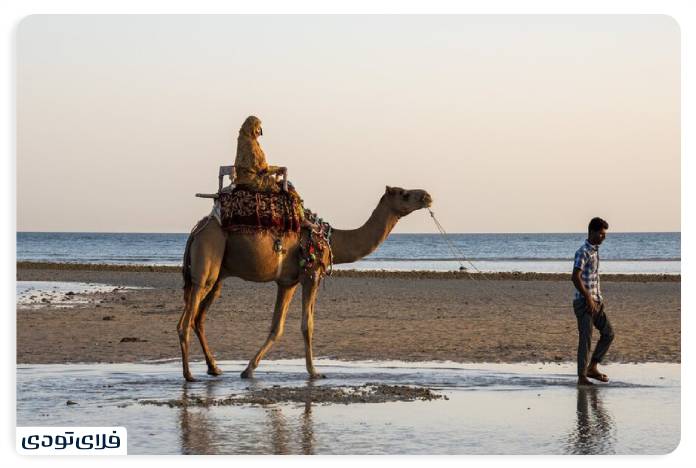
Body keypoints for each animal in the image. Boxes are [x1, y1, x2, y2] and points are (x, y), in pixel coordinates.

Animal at [177, 185, 433, 381]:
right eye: (404, 194)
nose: (427, 196)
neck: (332, 240)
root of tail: (196, 231)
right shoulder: (311, 274)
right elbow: (307, 325)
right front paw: (314, 372)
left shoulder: (287, 282)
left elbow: (277, 327)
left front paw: (248, 369)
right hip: (206, 261)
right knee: (186, 320)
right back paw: (189, 375)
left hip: (218, 275)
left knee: (198, 318)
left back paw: (214, 368)